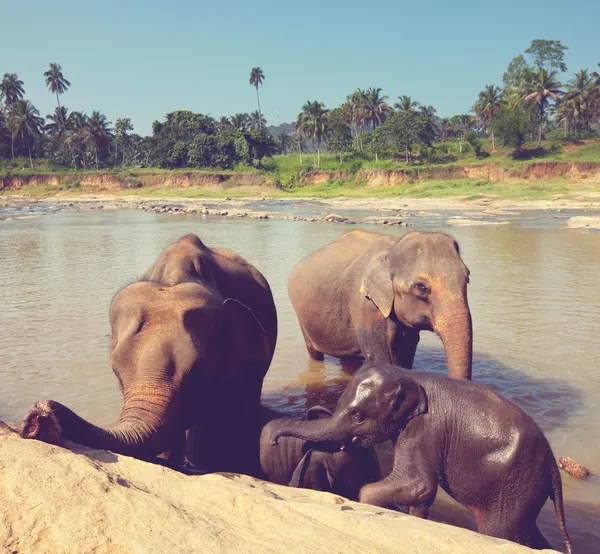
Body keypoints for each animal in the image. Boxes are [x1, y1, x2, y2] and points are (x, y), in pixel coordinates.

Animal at [270, 362, 572, 552]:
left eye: (357, 416)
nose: (273, 439)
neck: (407, 373)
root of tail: (553, 466)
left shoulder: (424, 429)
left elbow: (419, 484)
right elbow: (420, 495)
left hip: (514, 486)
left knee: (503, 532)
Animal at [288, 230, 474, 380]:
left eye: (467, 279)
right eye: (421, 287)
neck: (391, 251)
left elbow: (406, 353)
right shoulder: (365, 304)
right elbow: (379, 358)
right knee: (314, 353)